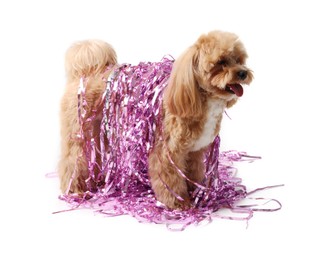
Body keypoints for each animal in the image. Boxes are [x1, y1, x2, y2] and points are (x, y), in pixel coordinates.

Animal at [59, 30, 253, 209]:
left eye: (239, 60)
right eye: (221, 62)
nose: (243, 73)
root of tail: (87, 71)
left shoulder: (194, 152)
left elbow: (194, 173)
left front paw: (194, 192)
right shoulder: (167, 152)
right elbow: (169, 180)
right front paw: (178, 202)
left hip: (99, 133)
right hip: (79, 132)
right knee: (72, 160)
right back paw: (75, 188)